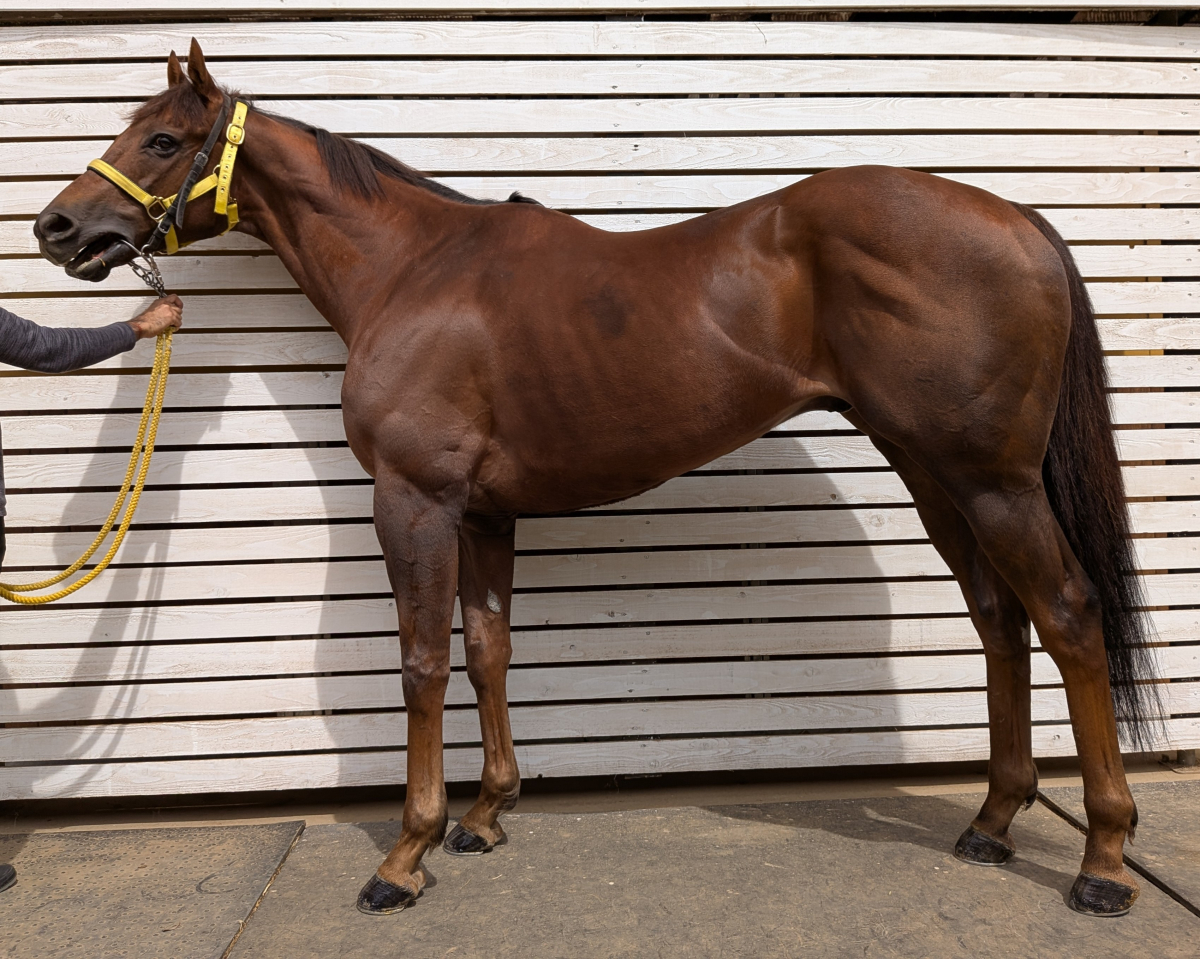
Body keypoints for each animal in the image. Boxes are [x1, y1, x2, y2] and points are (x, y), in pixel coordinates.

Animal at [34, 40, 1160, 918]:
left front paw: (405, 854)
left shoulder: (414, 502)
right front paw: (486, 815)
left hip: (993, 480)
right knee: (999, 619)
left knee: (1067, 612)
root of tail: (1014, 213)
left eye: (162, 141)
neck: (415, 270)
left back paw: (1103, 860)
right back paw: (994, 820)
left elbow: (421, 665)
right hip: (937, 474)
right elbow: (487, 650)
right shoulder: (483, 513)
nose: (57, 229)